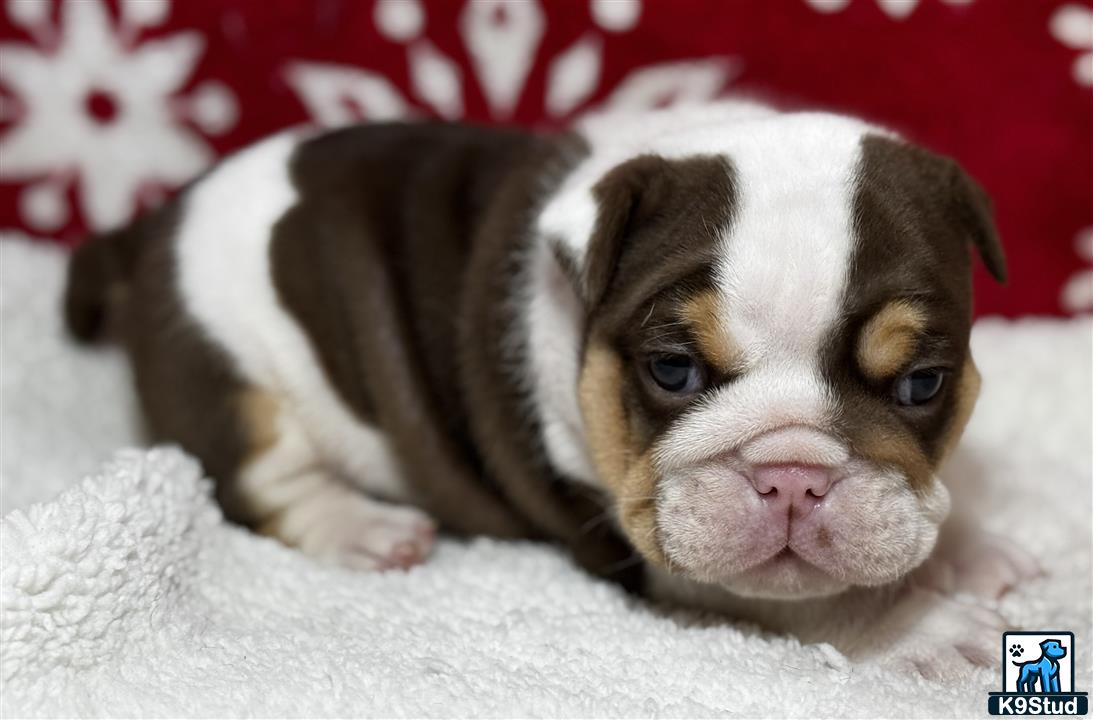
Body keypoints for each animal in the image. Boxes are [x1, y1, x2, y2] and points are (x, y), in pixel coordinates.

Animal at [63, 99, 1036, 677]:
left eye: (920, 383)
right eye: (672, 370)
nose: (792, 476)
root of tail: (147, 227)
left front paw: (968, 548)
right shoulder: (651, 548)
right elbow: (812, 598)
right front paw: (920, 628)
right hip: (233, 380)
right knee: (260, 481)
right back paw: (364, 528)